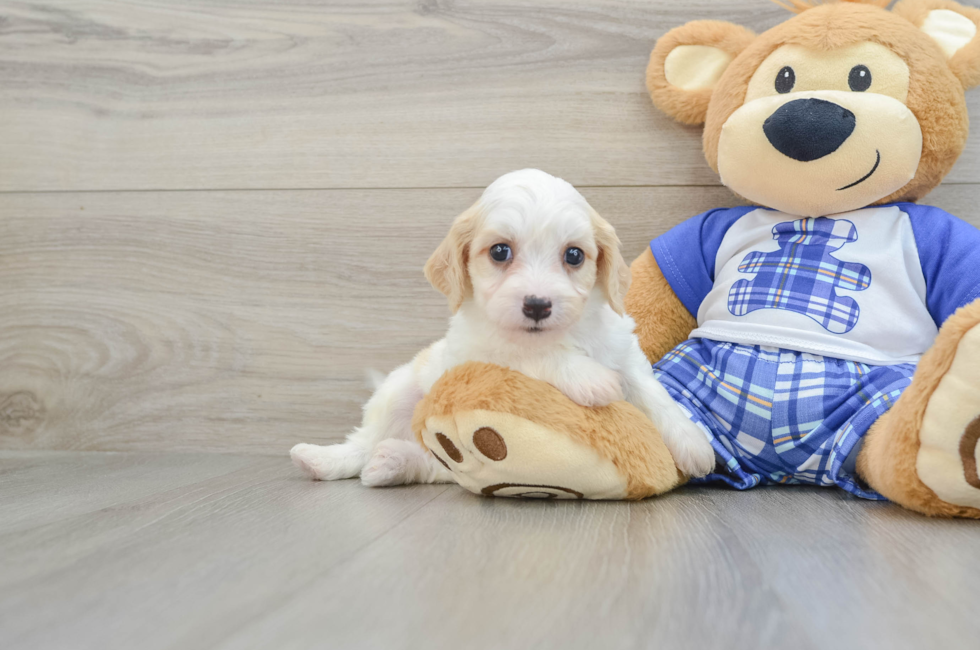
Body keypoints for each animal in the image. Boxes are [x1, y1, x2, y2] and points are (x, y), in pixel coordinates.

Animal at [290, 170, 712, 484]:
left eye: (574, 255)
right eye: (499, 251)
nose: (538, 305)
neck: (564, 334)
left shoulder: (624, 350)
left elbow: (654, 395)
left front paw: (694, 444)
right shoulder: (479, 357)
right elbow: (533, 354)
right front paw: (590, 378)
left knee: (438, 466)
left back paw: (392, 463)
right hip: (397, 392)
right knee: (365, 442)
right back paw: (323, 459)